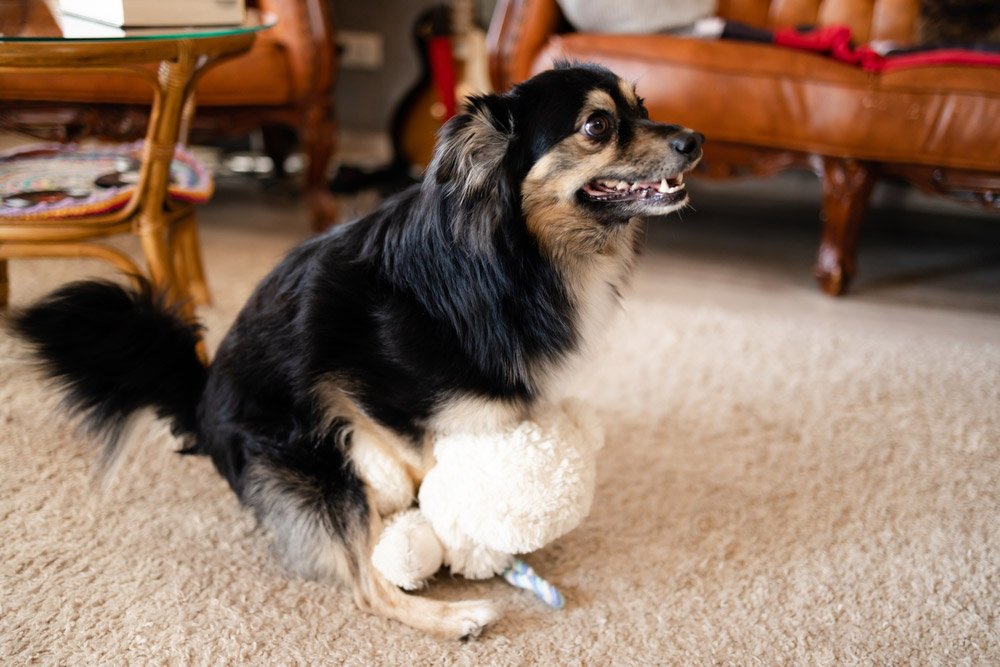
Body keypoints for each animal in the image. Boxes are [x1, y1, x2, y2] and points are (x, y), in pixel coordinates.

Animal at [13, 64, 704, 640]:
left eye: (642, 107)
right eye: (598, 126)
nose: (695, 139)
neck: (518, 258)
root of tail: (202, 402)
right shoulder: (373, 388)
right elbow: (426, 468)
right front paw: (457, 531)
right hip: (319, 460)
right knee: (367, 586)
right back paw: (455, 617)